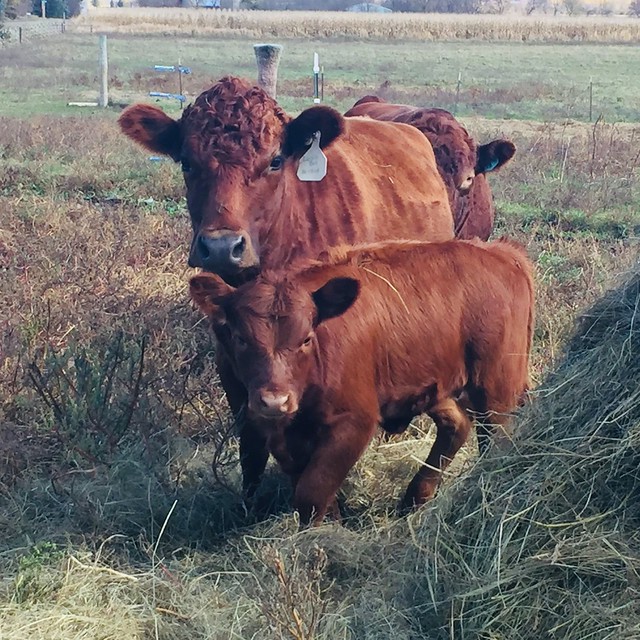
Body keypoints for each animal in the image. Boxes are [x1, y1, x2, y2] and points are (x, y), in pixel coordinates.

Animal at [189, 238, 535, 526]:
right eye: (240, 338)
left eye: (306, 339)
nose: (275, 401)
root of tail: (502, 253)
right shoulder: (259, 422)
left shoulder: (354, 420)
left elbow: (312, 492)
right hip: (434, 385)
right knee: (457, 424)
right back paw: (413, 499)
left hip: (496, 387)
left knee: (497, 440)